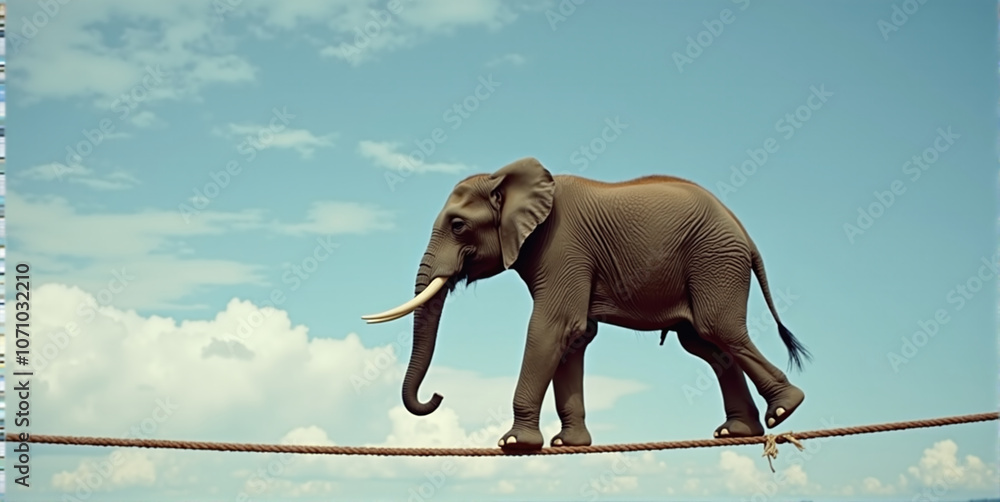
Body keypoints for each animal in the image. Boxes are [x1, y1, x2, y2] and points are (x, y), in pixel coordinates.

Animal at [363, 157, 811, 451]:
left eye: (458, 225)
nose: (438, 396)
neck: (506, 178)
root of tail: (745, 235)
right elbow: (575, 336)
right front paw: (567, 443)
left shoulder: (563, 245)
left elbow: (553, 326)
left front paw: (514, 442)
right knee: (705, 342)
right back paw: (737, 432)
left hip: (714, 260)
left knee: (718, 328)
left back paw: (783, 411)